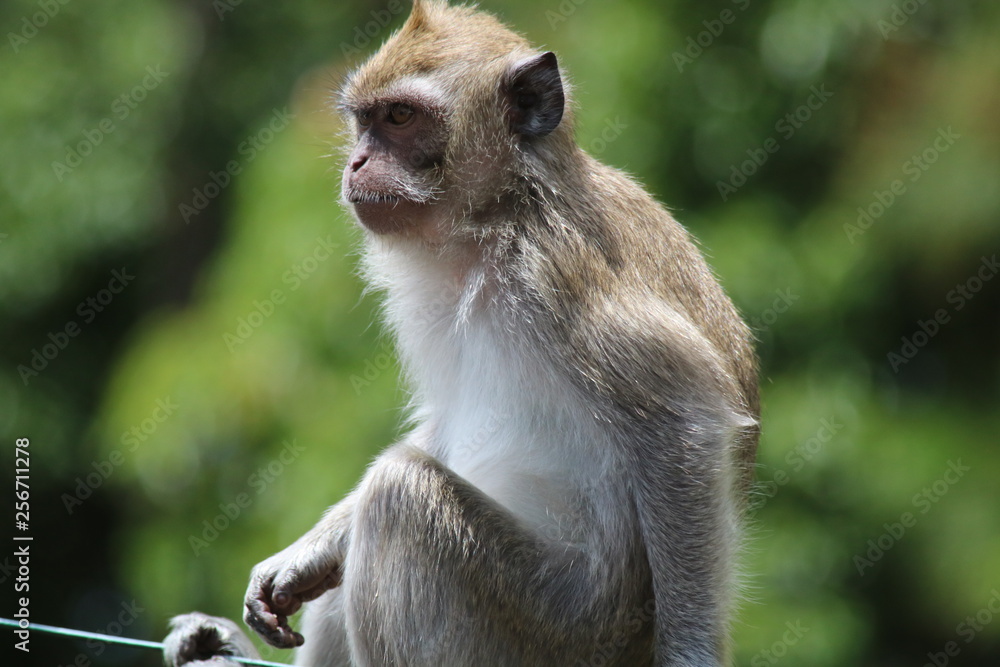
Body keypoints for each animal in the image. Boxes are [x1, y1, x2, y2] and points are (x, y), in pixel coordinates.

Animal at [164, 1, 759, 666]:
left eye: (400, 117)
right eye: (365, 123)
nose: (356, 163)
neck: (492, 219)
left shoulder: (555, 273)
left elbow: (684, 422)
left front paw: (690, 653)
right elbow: (444, 422)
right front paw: (309, 554)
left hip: (559, 624)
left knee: (397, 497)